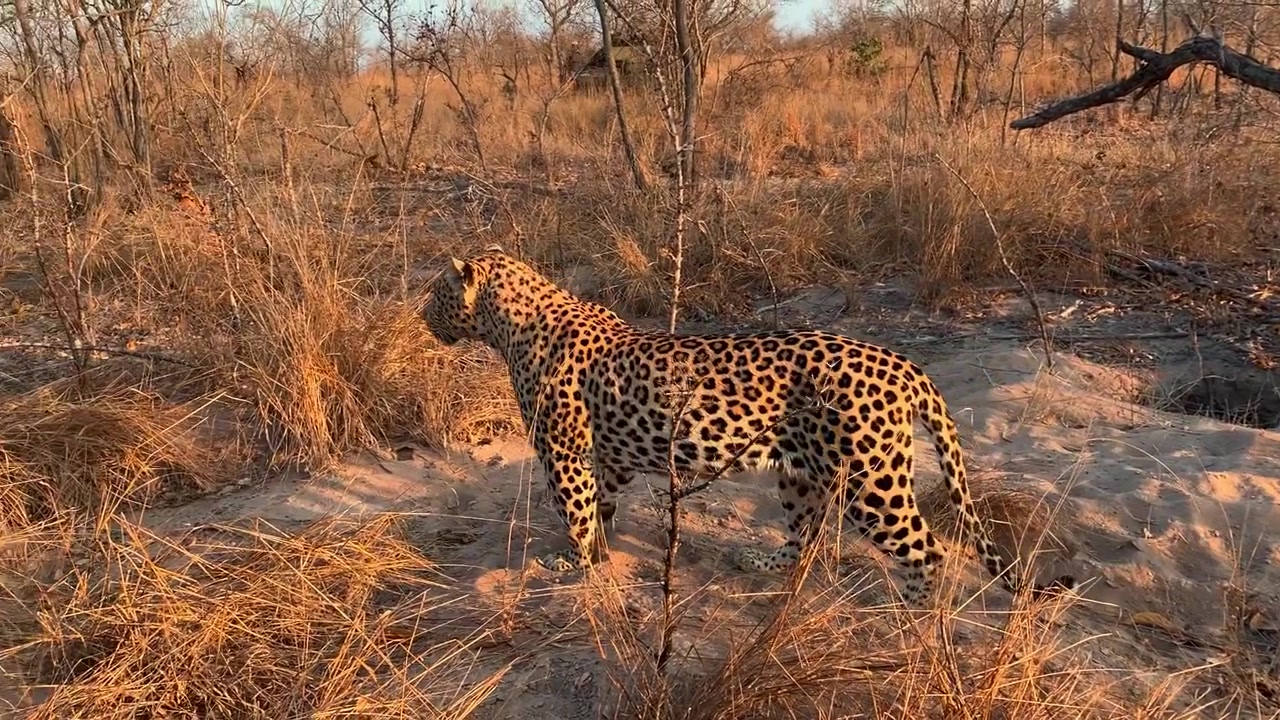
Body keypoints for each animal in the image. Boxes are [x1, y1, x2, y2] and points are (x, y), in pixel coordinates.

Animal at [422, 247, 1075, 607]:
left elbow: (576, 512)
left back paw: (906, 620)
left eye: (435, 294)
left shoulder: (563, 455)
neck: (511, 324)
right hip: (801, 472)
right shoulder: (608, 460)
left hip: (874, 482)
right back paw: (759, 563)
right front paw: (597, 558)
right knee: (803, 537)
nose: (420, 315)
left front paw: (573, 567)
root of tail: (904, 364)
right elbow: (600, 509)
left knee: (928, 550)